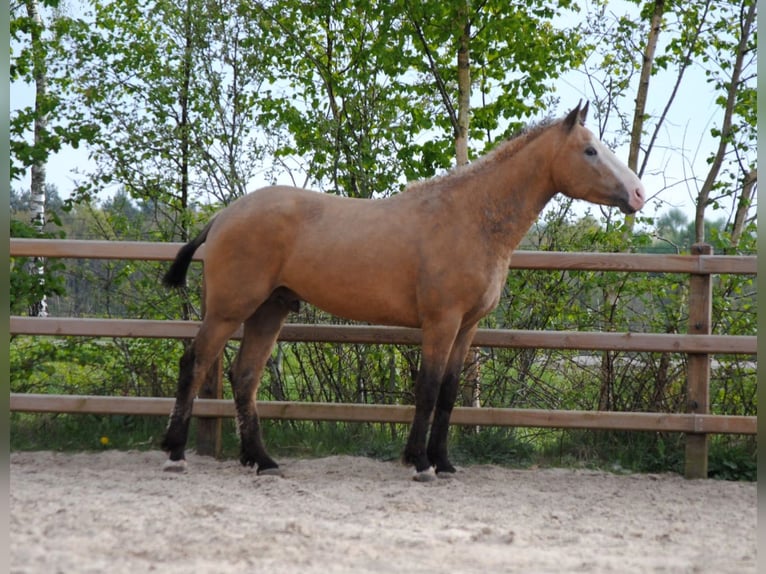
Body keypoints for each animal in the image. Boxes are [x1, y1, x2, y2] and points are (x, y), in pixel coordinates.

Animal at [160, 102, 645, 481]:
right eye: (590, 150)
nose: (638, 193)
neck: (470, 218)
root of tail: (223, 215)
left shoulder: (467, 328)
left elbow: (448, 393)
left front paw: (444, 462)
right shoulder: (441, 322)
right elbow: (427, 389)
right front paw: (419, 462)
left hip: (268, 311)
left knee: (245, 376)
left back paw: (260, 460)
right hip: (228, 311)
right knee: (195, 363)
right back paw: (175, 453)